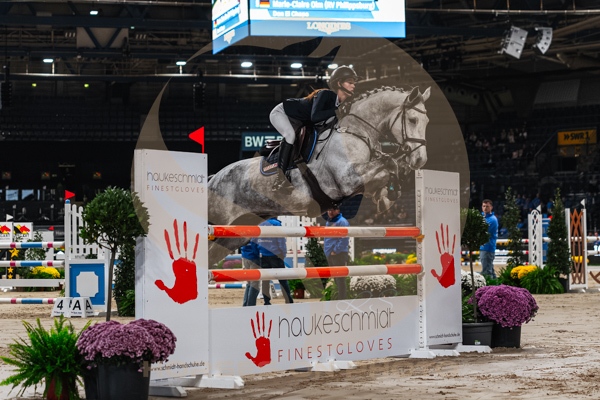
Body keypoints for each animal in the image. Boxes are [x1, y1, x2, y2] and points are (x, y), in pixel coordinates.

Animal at [207, 85, 431, 265]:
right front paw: (389, 193)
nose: (420, 160)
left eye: (427, 121)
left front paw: (387, 196)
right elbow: (388, 162)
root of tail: (213, 178)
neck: (356, 132)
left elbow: (386, 169)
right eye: (413, 120)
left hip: (236, 233)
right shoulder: (347, 180)